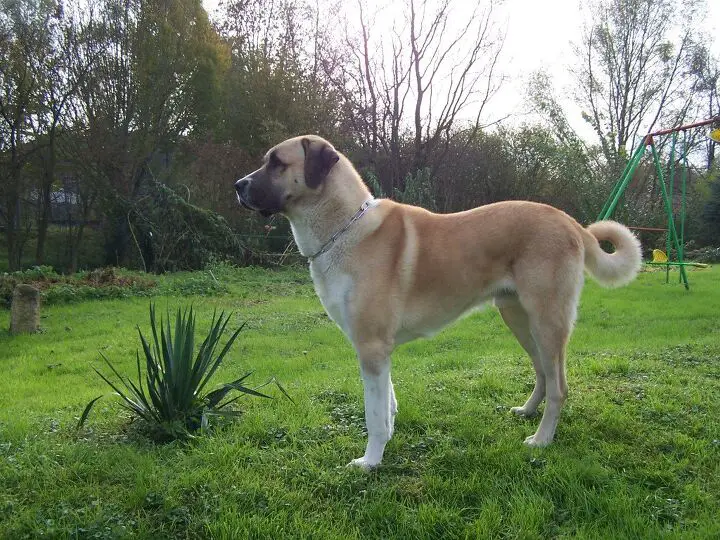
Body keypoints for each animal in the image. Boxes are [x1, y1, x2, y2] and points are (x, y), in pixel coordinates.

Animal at [235, 135, 640, 468]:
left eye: (277, 162)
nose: (238, 186)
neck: (344, 227)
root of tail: (571, 223)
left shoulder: (371, 347)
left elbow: (373, 414)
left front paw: (370, 461)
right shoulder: (379, 352)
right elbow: (388, 404)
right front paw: (386, 443)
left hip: (547, 321)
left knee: (558, 387)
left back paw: (540, 439)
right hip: (518, 318)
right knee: (542, 372)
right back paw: (526, 412)